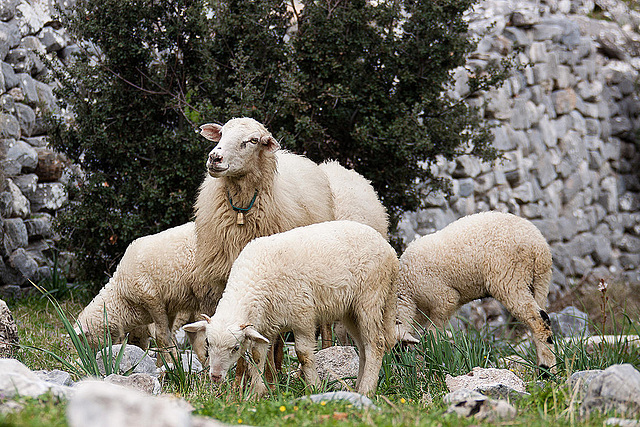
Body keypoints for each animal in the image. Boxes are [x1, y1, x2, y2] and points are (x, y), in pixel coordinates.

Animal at [74, 222, 198, 362]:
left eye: (84, 342)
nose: (88, 360)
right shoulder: (170, 307)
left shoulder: (153, 301)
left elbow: (161, 336)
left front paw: (169, 362)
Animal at [182, 221, 398, 398]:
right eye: (208, 344)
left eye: (235, 348)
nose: (215, 376)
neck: (254, 279)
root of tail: (390, 252)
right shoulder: (264, 326)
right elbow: (257, 356)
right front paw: (256, 393)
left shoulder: (303, 316)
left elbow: (303, 354)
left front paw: (314, 388)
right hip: (350, 310)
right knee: (362, 346)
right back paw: (358, 387)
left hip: (370, 297)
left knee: (376, 343)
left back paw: (367, 390)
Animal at [396, 212, 556, 376]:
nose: (397, 368)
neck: (407, 292)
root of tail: (539, 246)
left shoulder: (445, 299)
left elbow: (434, 334)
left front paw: (433, 361)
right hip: (539, 282)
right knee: (543, 317)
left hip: (511, 279)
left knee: (539, 320)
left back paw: (546, 370)